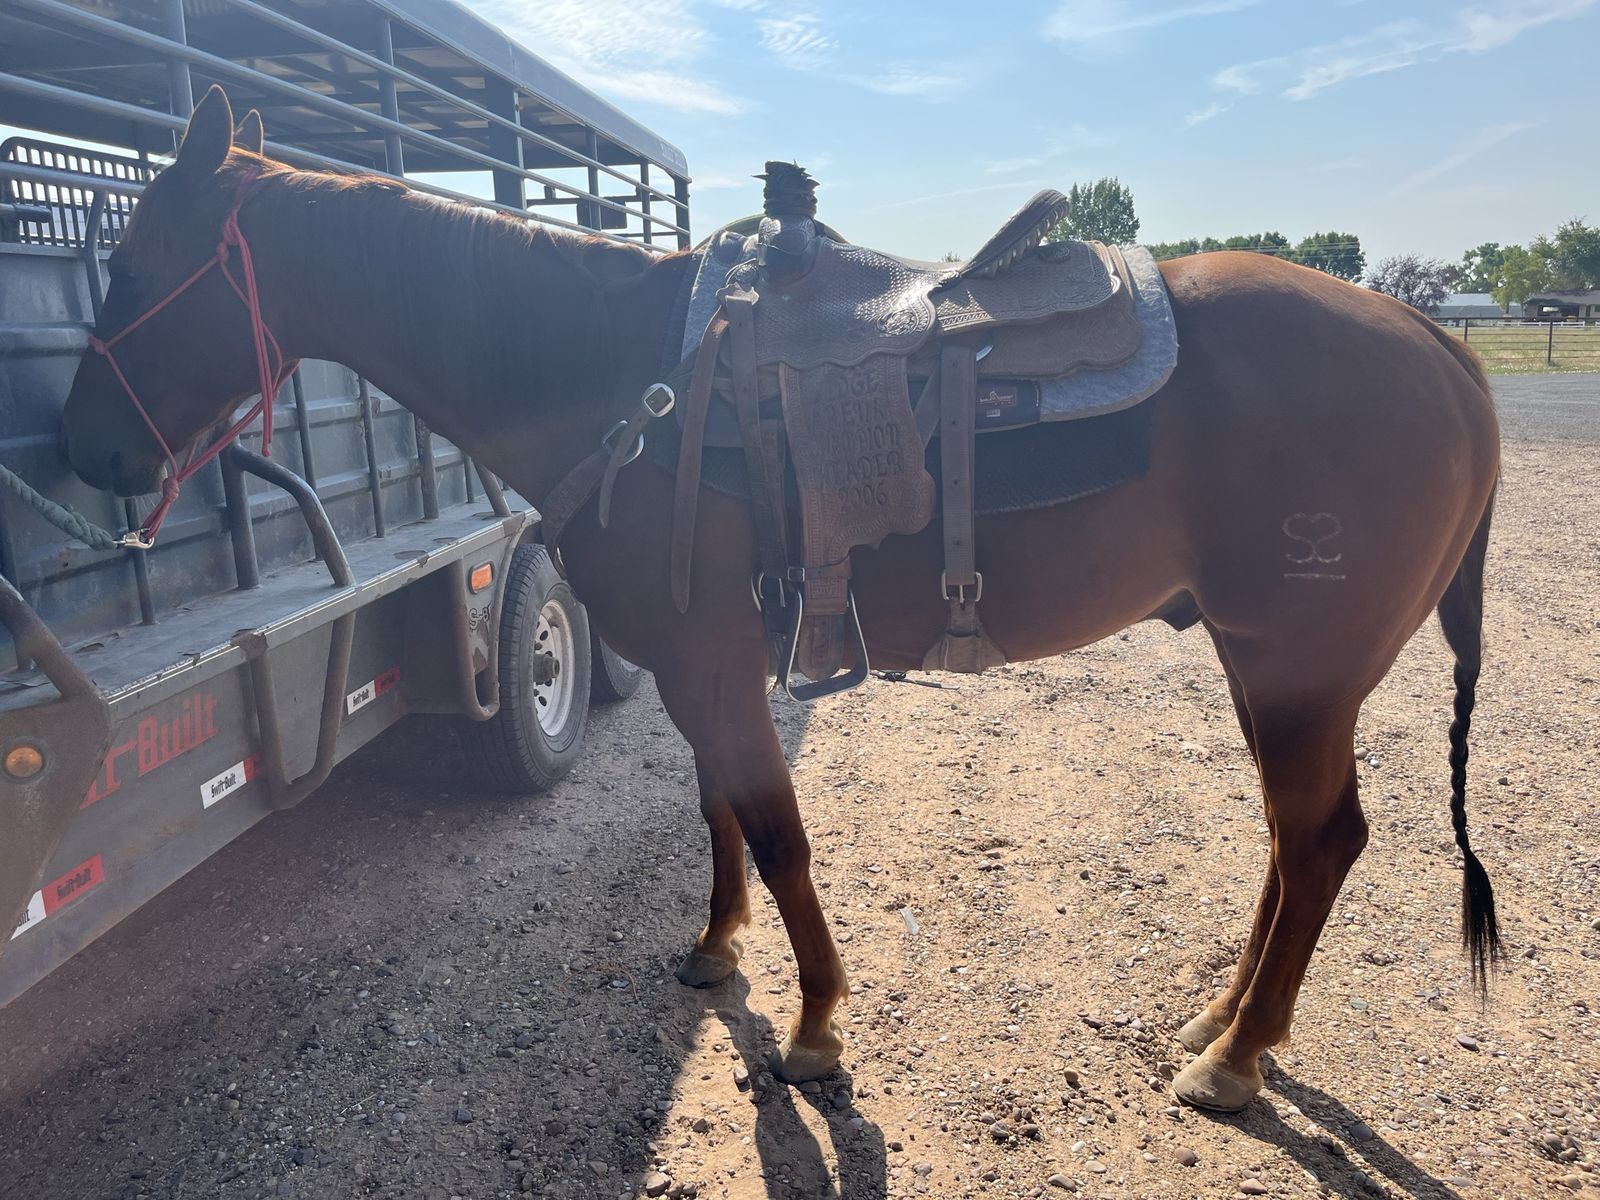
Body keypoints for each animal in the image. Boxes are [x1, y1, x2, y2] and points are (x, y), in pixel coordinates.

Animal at [61, 88, 1502, 1112]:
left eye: (129, 269)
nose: (84, 450)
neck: (622, 373)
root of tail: (1441, 347)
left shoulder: (712, 660)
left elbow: (779, 831)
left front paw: (813, 1026)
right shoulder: (702, 664)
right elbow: (720, 814)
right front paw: (718, 948)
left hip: (1297, 668)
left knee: (1318, 843)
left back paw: (1237, 1059)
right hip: (1271, 669)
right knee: (1289, 843)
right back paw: (1224, 1020)